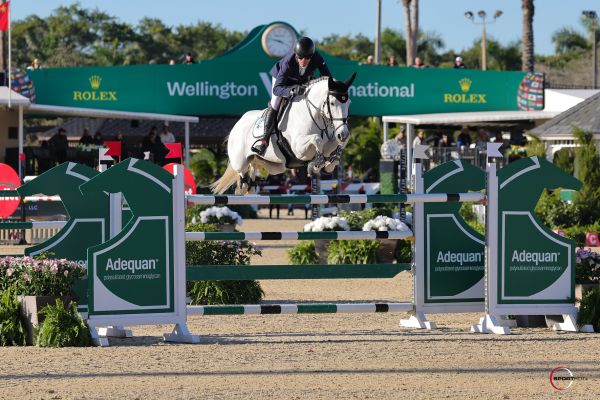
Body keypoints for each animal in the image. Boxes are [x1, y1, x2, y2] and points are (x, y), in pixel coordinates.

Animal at [212, 74, 356, 196]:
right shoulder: (298, 149)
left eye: (349, 103)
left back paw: (251, 183)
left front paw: (332, 161)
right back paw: (245, 184)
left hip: (277, 166)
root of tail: (238, 124)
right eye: (332, 103)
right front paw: (317, 164)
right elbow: (317, 140)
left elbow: (335, 145)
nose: (342, 133)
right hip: (239, 160)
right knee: (241, 171)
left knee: (255, 161)